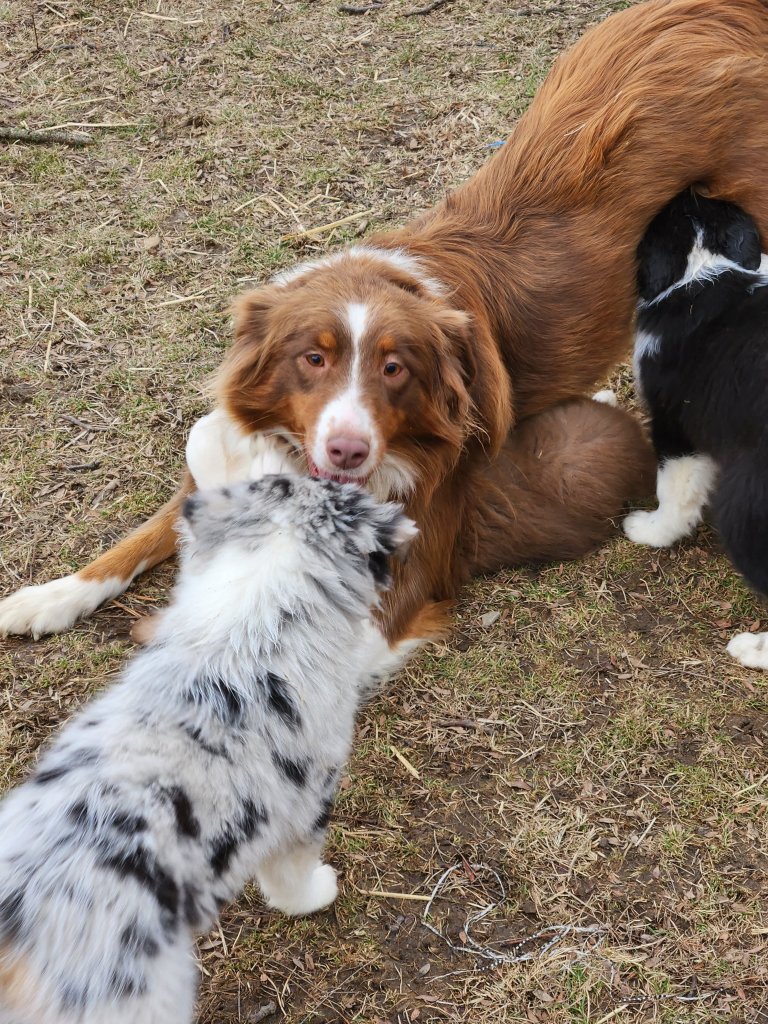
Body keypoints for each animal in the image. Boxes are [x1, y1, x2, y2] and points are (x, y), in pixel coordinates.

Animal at [624, 188, 768, 670]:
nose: (689, 188)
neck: (703, 273)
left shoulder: (676, 427)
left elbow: (674, 492)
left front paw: (649, 531)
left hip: (745, 509)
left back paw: (751, 650)